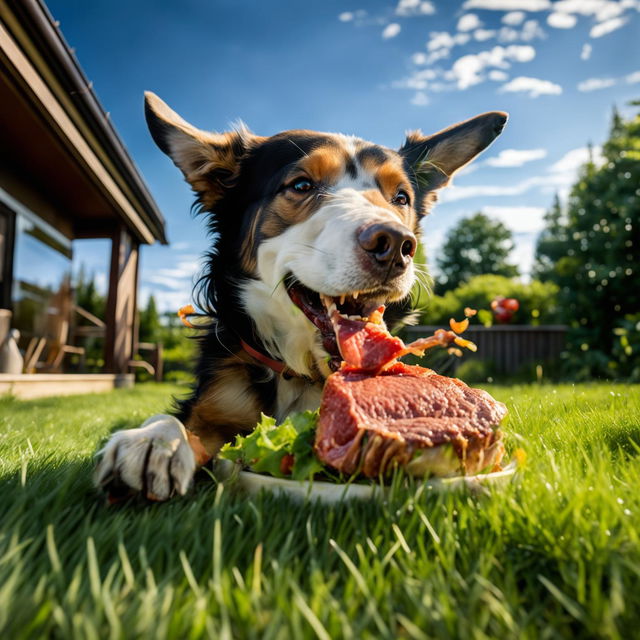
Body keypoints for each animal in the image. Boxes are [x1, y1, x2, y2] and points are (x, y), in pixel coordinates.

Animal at [94, 91, 504, 500]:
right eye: (302, 186)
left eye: (401, 197)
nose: (395, 245)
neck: (302, 371)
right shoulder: (216, 401)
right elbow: (182, 421)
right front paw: (153, 442)